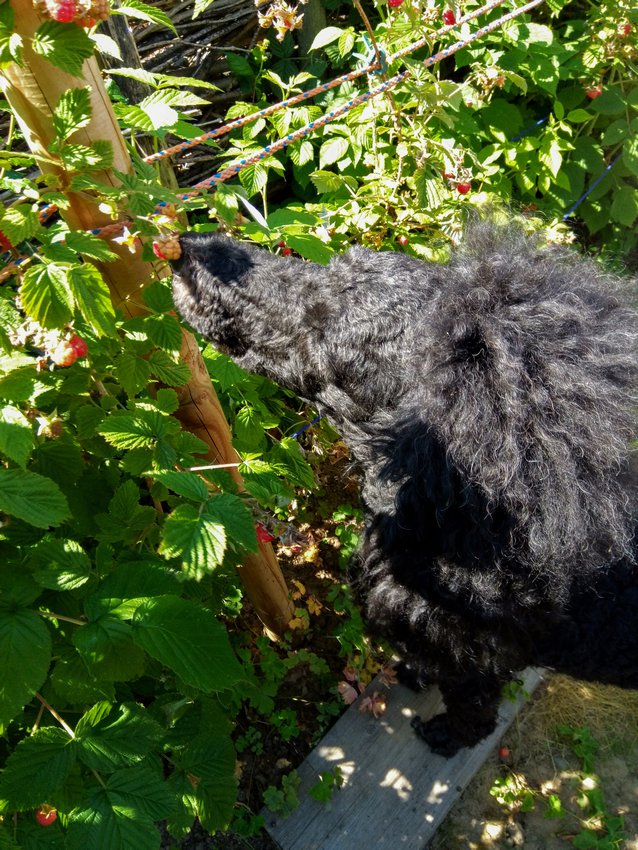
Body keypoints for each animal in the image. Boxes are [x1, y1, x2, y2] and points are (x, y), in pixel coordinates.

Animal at [170, 220, 638, 756]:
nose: (191, 247)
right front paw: (414, 674)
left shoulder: (469, 660)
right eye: (334, 264)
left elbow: (471, 707)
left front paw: (447, 735)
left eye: (323, 328)